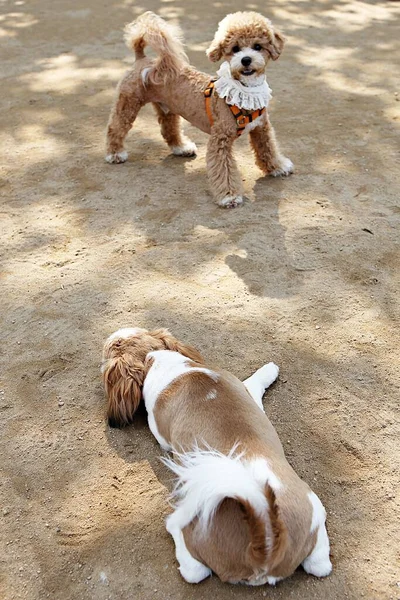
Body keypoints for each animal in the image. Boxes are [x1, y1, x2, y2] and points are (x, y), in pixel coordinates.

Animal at [101, 328, 332, 584]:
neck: (157, 359)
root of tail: (266, 546)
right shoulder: (246, 392)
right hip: (313, 507)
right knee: (320, 565)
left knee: (193, 569)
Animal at [105, 11, 294, 209]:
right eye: (235, 49)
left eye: (258, 46)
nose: (246, 60)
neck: (244, 90)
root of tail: (141, 59)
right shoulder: (220, 140)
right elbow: (224, 169)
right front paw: (229, 196)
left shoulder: (261, 128)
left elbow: (268, 149)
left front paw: (278, 167)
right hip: (128, 104)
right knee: (115, 128)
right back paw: (115, 153)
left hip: (167, 108)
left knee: (169, 129)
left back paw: (181, 148)